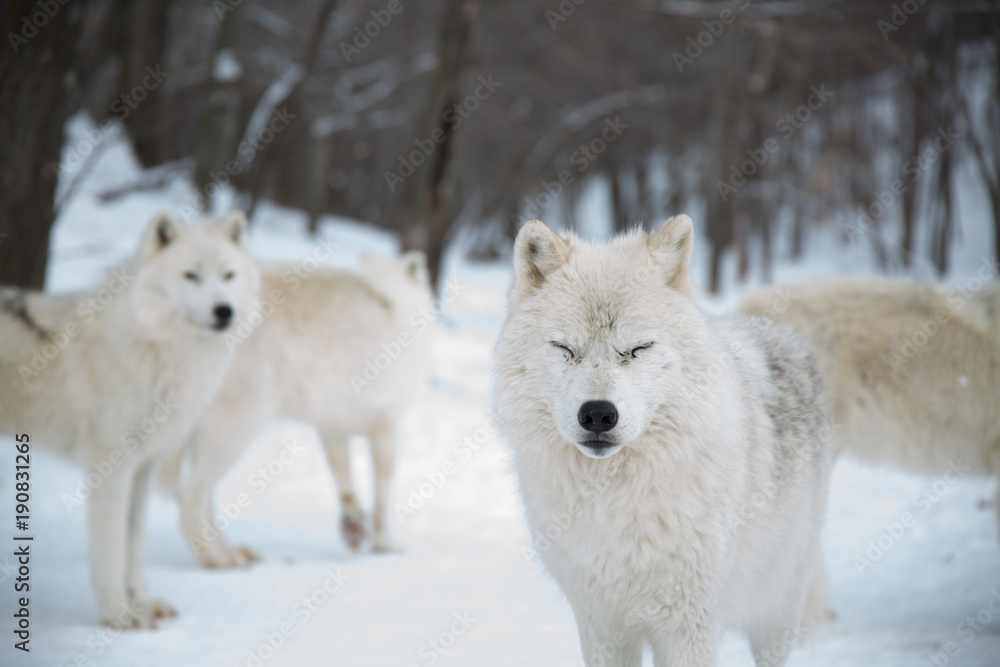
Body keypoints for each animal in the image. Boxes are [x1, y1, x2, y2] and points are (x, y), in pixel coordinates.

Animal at [0, 212, 259, 628]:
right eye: (191, 275)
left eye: (228, 275)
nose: (224, 311)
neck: (157, 349)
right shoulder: (111, 466)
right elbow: (111, 546)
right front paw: (119, 615)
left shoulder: (144, 467)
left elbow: (134, 541)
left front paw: (143, 603)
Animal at [163, 251, 433, 567]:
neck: (390, 299)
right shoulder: (386, 426)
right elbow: (382, 496)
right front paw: (385, 544)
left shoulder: (332, 425)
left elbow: (344, 482)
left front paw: (353, 527)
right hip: (238, 428)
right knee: (190, 492)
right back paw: (218, 559)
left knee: (201, 494)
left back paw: (231, 551)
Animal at [492, 216, 832, 667]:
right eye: (565, 348)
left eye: (638, 349)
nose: (597, 413)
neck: (613, 502)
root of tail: (782, 334)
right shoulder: (600, 624)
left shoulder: (689, 625)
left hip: (777, 608)